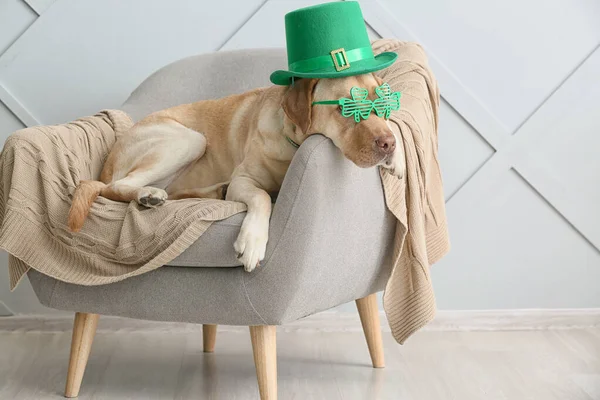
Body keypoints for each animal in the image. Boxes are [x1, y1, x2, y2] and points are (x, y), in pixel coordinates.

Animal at [68, 72, 406, 272]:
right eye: (346, 108)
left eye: (383, 103)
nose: (387, 144)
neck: (293, 142)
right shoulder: (245, 181)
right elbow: (262, 197)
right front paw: (253, 240)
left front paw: (399, 157)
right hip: (189, 139)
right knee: (115, 187)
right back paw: (148, 194)